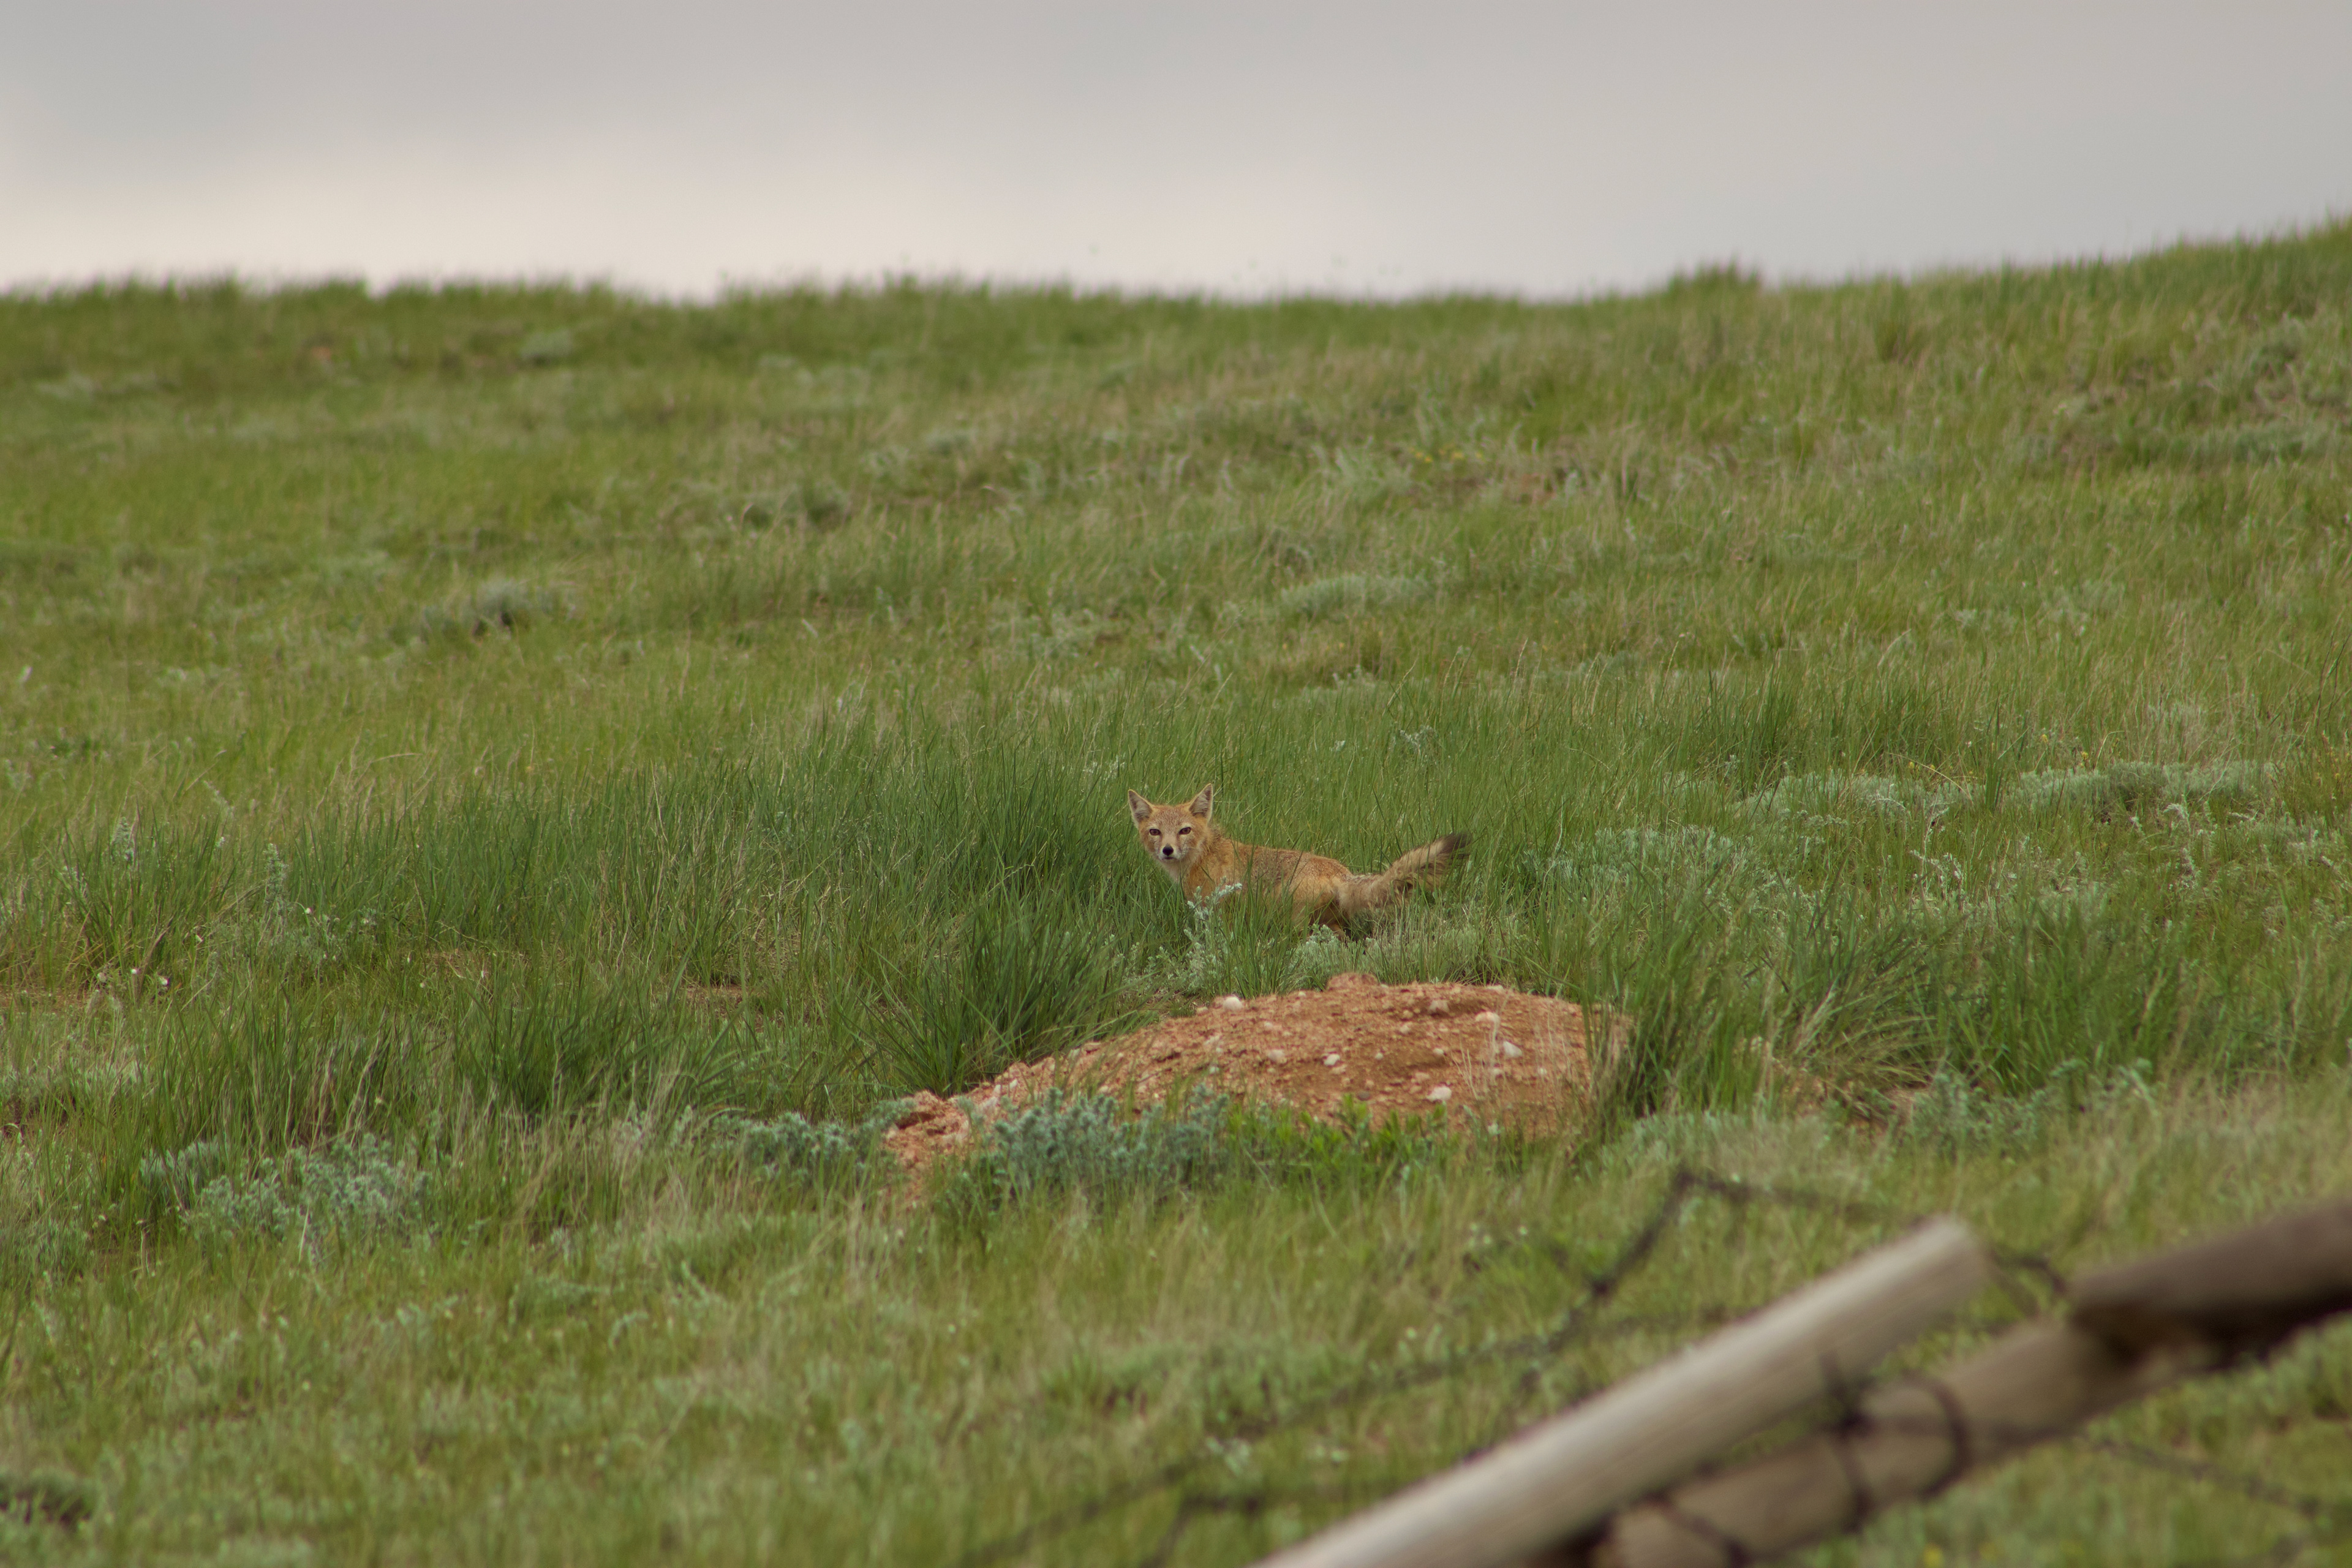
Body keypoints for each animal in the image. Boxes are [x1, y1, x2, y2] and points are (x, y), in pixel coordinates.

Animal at [1126, 785, 1466, 929]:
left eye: (1184, 831)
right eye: (1156, 832)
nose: (1168, 850)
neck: (1201, 857)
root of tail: (1342, 873)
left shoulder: (1219, 913)